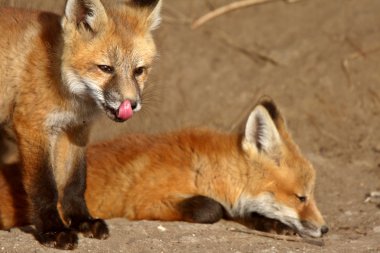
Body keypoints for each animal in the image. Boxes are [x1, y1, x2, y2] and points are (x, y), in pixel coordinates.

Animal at [0, 0, 162, 249]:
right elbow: (44, 186)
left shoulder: (75, 130)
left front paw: (82, 221)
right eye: (105, 68)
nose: (131, 104)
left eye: (139, 71)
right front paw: (54, 230)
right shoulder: (33, 126)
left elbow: (74, 183)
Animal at [0, 99, 326, 239]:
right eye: (301, 197)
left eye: (310, 196)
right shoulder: (147, 201)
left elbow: (245, 212)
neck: (204, 168)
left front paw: (273, 225)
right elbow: (212, 209)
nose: (325, 228)